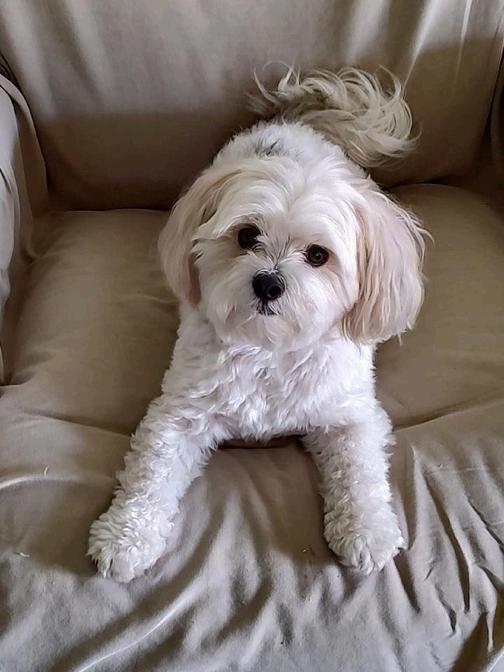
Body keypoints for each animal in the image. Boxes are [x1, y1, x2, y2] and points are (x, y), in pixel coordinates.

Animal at [89, 67, 426, 582]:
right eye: (247, 236)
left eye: (318, 255)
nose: (268, 283)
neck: (270, 348)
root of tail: (295, 123)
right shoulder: (180, 413)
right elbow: (151, 472)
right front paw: (125, 537)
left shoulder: (348, 414)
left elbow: (361, 473)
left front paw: (367, 532)